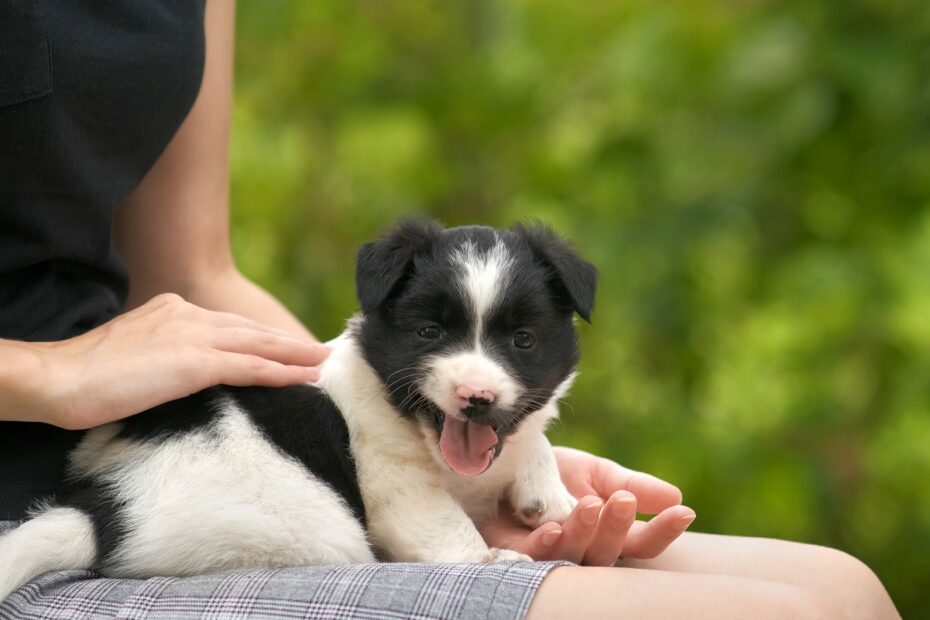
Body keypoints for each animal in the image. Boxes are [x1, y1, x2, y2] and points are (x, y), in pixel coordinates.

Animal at [0, 219, 596, 600]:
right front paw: (489, 558)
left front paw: (552, 499)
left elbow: (534, 443)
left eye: (522, 340)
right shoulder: (396, 484)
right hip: (313, 529)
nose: (477, 397)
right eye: (429, 332)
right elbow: (444, 525)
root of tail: (105, 510)